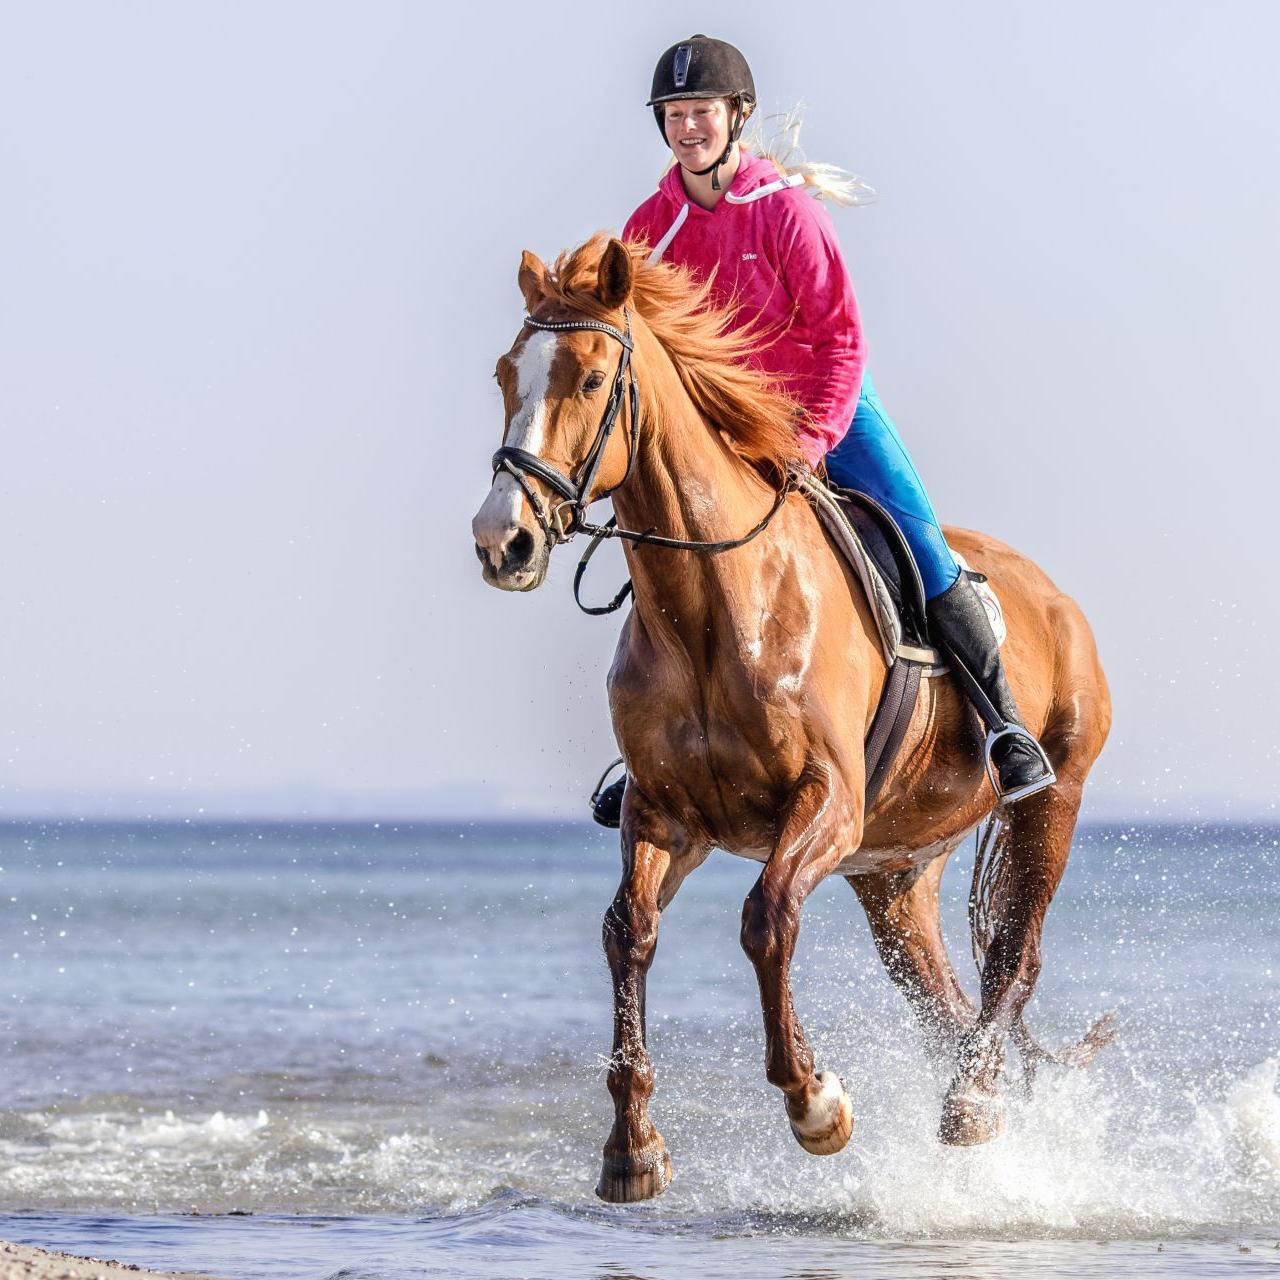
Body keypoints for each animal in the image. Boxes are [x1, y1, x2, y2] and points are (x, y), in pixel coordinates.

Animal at [471, 235, 1111, 1203]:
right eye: (507, 375)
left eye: (589, 379)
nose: (500, 541)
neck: (712, 607)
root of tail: (1061, 603)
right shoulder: (665, 814)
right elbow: (627, 932)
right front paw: (633, 1146)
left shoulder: (826, 804)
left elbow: (766, 918)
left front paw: (816, 1102)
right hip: (894, 872)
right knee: (939, 997)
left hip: (1050, 803)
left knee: (1015, 955)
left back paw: (969, 1104)